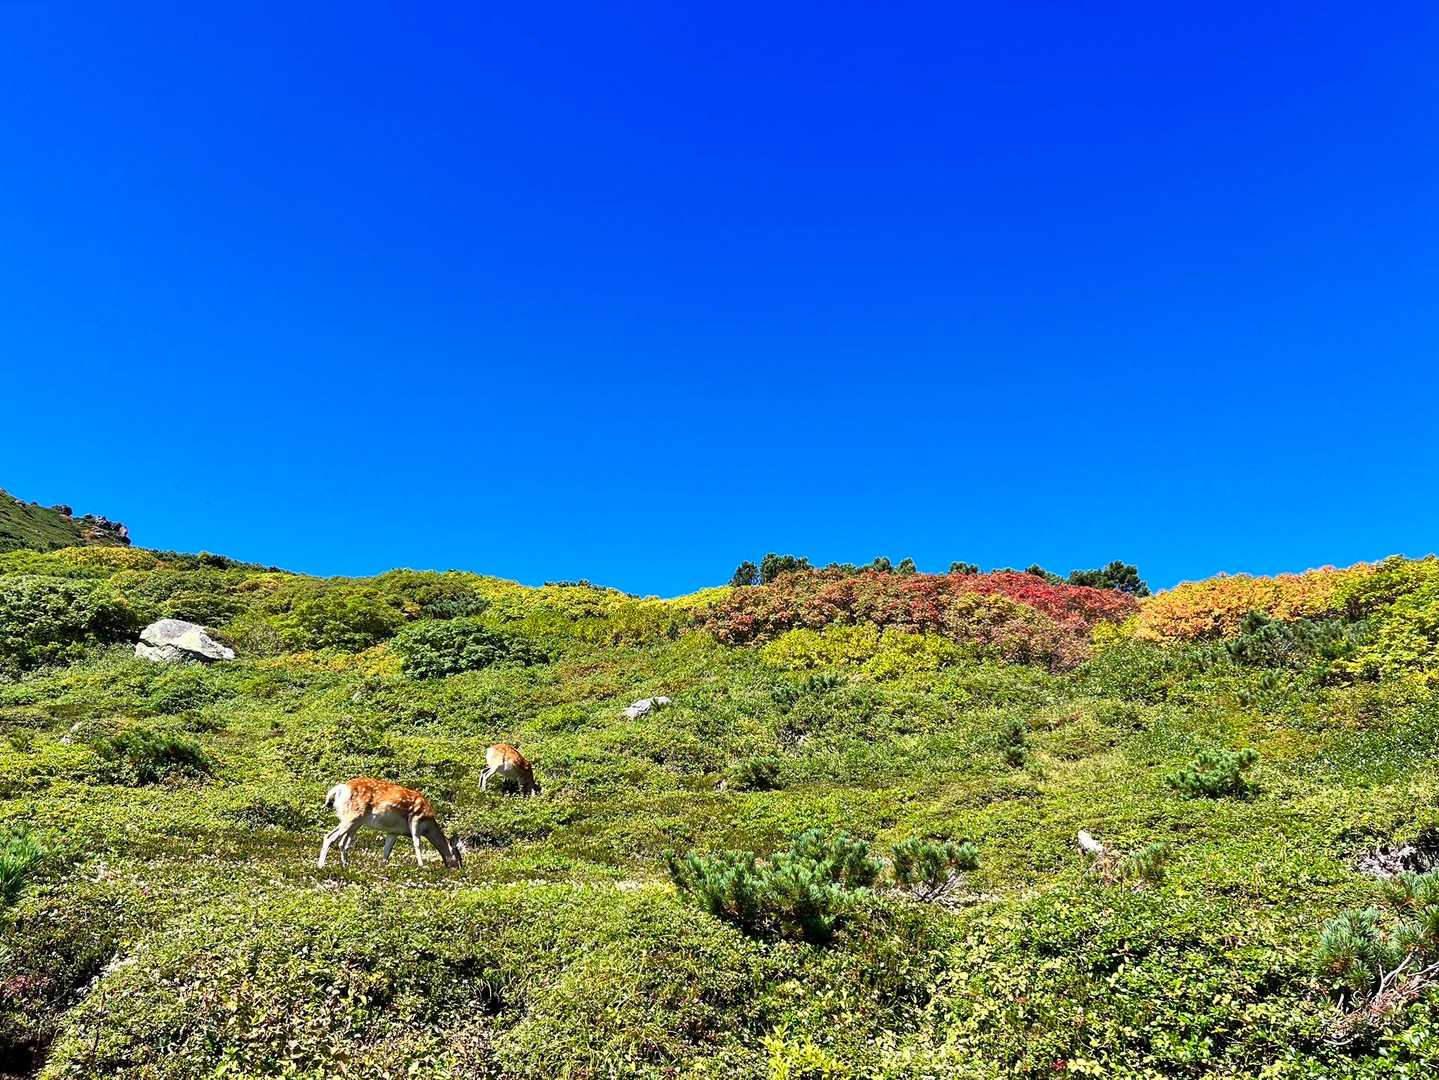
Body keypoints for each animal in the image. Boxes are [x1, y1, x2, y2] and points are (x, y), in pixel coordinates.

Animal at [317, 778, 463, 870]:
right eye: (458, 856)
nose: (459, 869)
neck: (428, 826)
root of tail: (340, 789)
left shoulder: (394, 831)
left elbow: (386, 851)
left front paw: (384, 867)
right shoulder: (416, 818)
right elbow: (417, 844)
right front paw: (422, 866)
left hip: (354, 821)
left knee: (343, 843)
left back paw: (345, 866)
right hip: (352, 816)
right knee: (329, 837)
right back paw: (321, 866)